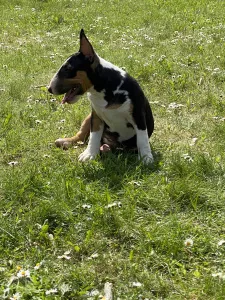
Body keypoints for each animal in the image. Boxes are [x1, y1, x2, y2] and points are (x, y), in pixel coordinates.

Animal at [47, 29, 154, 163]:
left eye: (67, 69)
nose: (49, 89)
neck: (104, 89)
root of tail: (111, 145)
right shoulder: (96, 116)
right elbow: (94, 136)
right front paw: (89, 154)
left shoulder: (138, 116)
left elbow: (142, 139)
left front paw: (146, 158)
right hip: (88, 117)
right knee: (82, 136)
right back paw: (66, 141)